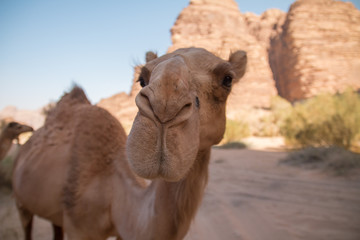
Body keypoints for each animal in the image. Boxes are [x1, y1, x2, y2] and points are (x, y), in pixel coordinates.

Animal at [11, 47, 248, 240]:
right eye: (141, 79)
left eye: (227, 79)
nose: (165, 105)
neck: (111, 188)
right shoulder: (79, 229)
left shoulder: (122, 231)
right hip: (21, 201)